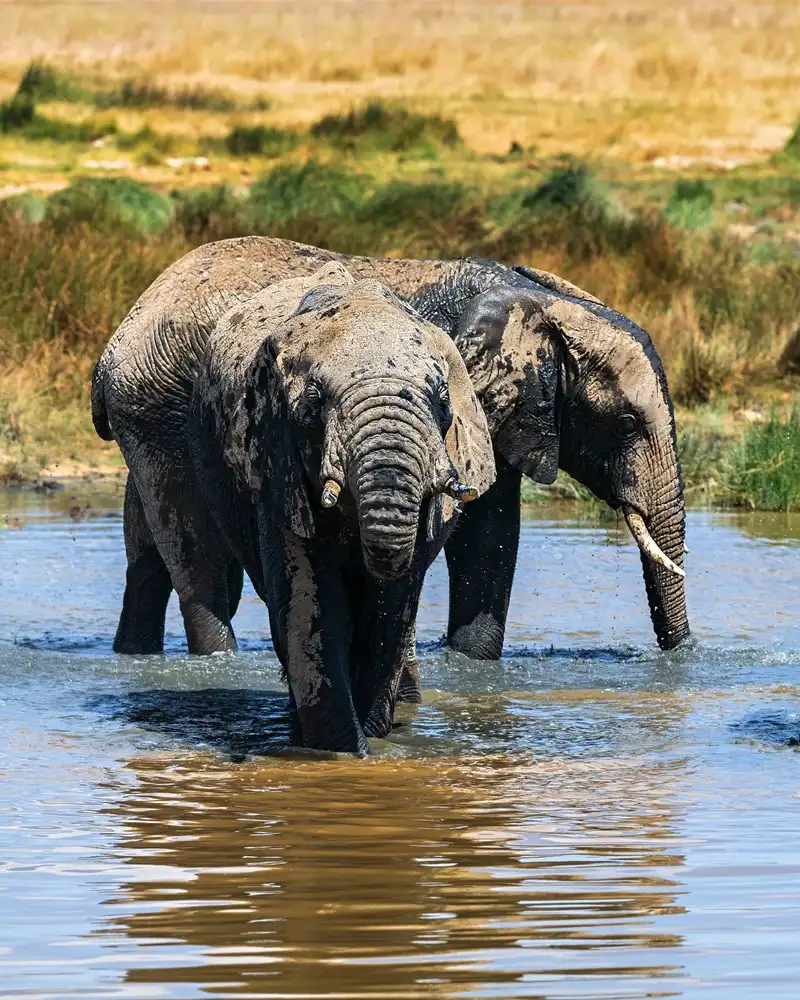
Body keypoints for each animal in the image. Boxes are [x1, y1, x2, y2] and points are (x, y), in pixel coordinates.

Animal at [92, 236, 689, 674]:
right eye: (627, 424)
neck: (539, 301)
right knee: (203, 563)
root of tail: (117, 339)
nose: (679, 659)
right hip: (160, 404)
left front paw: (471, 667)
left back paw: (133, 657)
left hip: (147, 413)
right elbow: (480, 532)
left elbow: (492, 533)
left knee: (146, 556)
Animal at [135, 261, 495, 753]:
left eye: (442, 401)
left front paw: (375, 743)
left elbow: (389, 609)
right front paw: (344, 752)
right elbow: (314, 601)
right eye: (313, 401)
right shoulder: (275, 462)